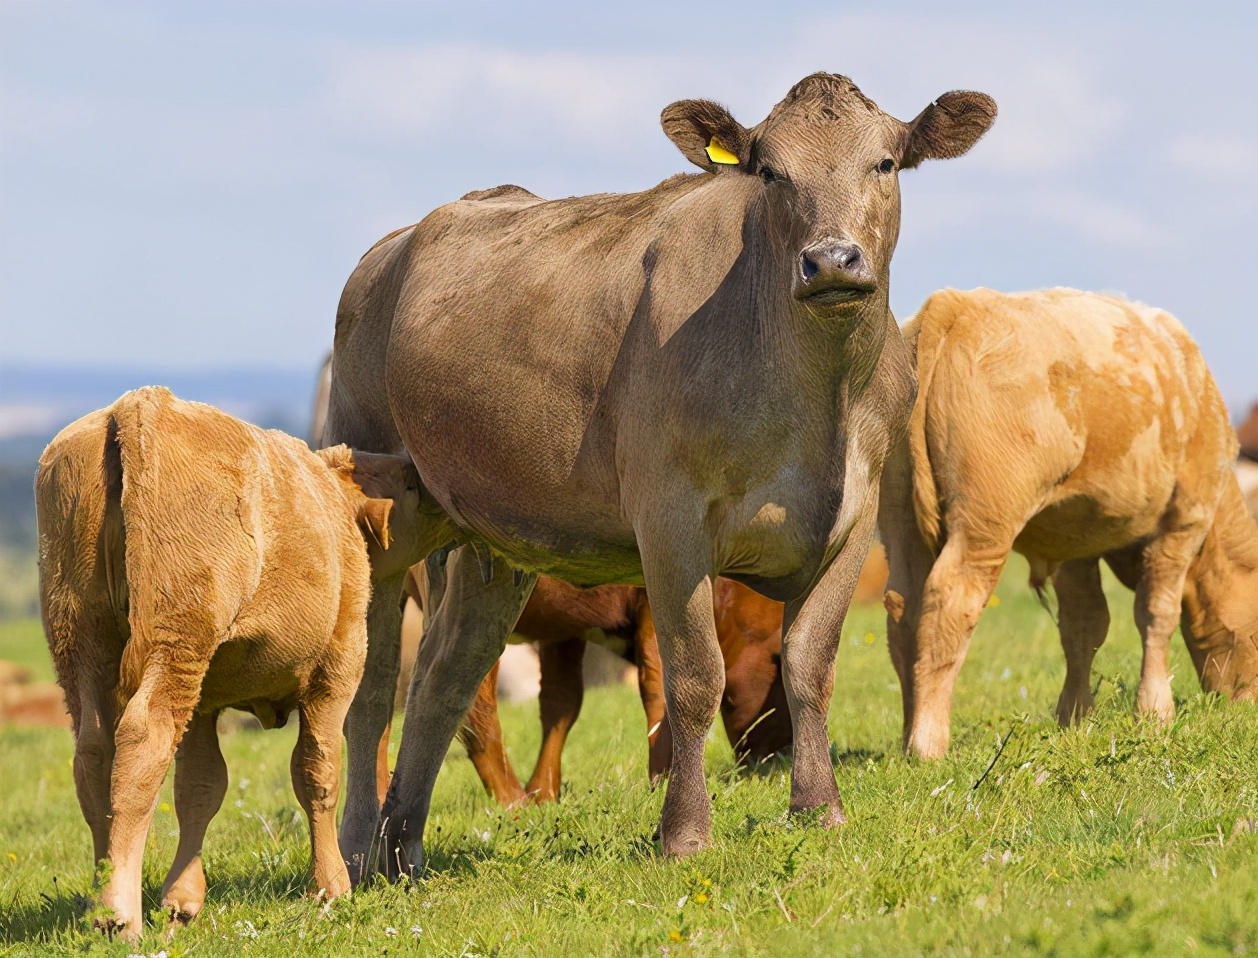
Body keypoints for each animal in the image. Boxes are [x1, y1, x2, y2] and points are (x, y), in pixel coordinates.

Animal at [35, 384, 422, 935]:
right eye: (411, 485)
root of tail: (143, 403)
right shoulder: (339, 666)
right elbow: (318, 771)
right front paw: (331, 887)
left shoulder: (205, 701)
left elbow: (201, 787)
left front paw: (182, 900)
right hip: (176, 642)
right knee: (143, 738)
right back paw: (119, 915)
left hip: (83, 640)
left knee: (94, 752)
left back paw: (98, 900)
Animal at [329, 72, 996, 875]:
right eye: (770, 172)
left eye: (886, 163)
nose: (833, 261)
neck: (817, 394)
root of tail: (396, 242)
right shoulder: (670, 521)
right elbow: (694, 677)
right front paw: (684, 833)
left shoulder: (853, 518)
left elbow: (811, 664)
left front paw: (819, 809)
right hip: (371, 509)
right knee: (372, 690)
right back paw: (354, 856)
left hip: (490, 538)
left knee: (444, 679)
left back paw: (403, 851)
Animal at [875, 287, 1258, 759]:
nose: (1246, 705)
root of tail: (957, 304)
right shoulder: (1186, 518)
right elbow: (1157, 612)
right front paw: (1155, 711)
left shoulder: (1076, 539)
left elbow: (1084, 624)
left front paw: (1074, 717)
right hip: (984, 523)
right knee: (950, 601)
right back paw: (928, 742)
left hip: (899, 519)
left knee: (903, 608)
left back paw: (907, 734)